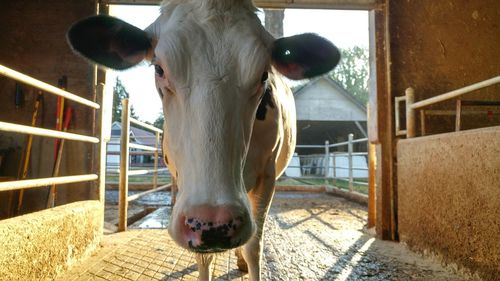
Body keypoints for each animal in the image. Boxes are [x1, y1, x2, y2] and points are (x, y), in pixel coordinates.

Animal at [67, 1, 340, 278]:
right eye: (159, 69)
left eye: (264, 75)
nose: (214, 223)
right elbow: (204, 258)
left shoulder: (268, 175)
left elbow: (254, 246)